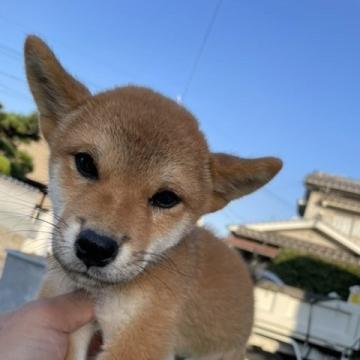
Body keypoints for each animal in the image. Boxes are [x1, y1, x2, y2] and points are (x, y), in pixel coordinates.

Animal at [23, 34, 282, 360]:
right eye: (85, 163)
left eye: (166, 198)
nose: (95, 247)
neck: (100, 296)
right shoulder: (69, 319)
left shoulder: (142, 337)